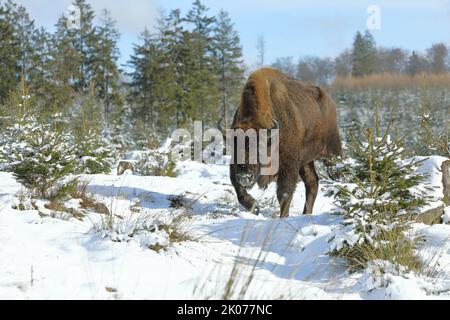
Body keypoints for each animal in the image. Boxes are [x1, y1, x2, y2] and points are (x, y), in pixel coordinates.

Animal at [230, 67, 342, 218]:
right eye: (234, 146)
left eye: (259, 146)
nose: (244, 176)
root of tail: (331, 103)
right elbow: (238, 190)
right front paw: (255, 207)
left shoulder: (288, 164)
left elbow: (284, 193)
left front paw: (282, 218)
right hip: (306, 162)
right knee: (312, 183)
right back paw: (306, 214)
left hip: (331, 153)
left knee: (336, 173)